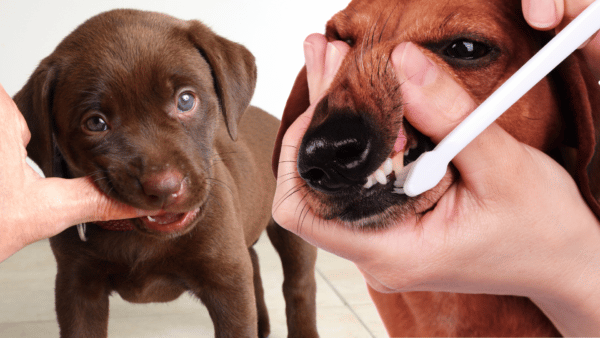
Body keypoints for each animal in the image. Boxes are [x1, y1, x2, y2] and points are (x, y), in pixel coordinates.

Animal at [15, 8, 318, 338]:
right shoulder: (78, 287)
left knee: (299, 286)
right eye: (95, 123)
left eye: (185, 100)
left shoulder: (227, 282)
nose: (165, 187)